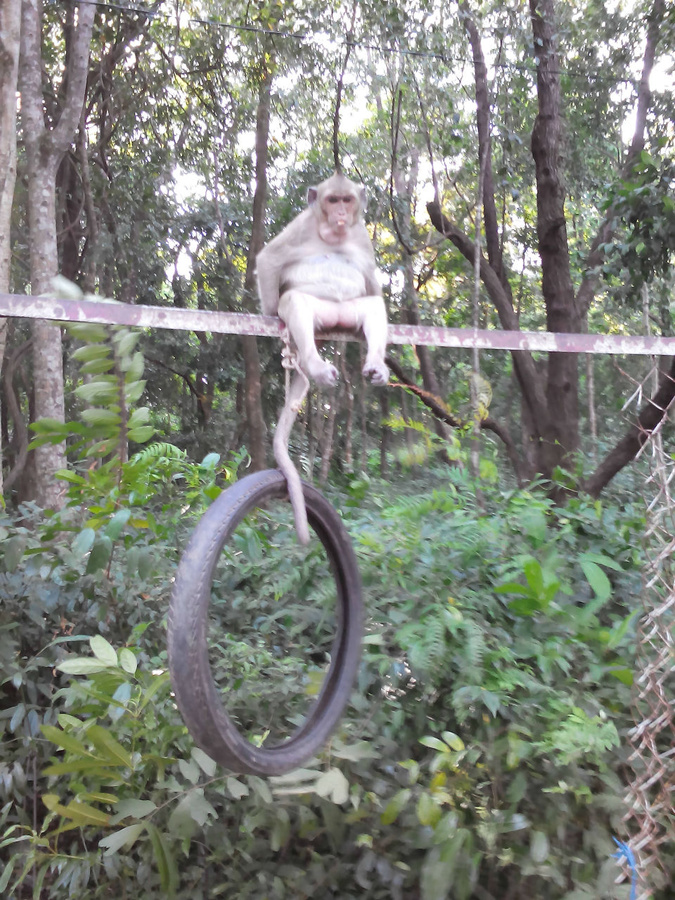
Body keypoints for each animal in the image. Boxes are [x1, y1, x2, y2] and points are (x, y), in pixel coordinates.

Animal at [255, 172, 390, 386]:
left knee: (374, 305)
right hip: (324, 311)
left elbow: (369, 276)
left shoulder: (361, 235)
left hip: (347, 313)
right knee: (295, 301)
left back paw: (376, 365)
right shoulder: (302, 225)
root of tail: (336, 319)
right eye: (333, 200)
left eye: (347, 200)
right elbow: (269, 258)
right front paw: (272, 312)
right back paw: (315, 365)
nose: (341, 213)